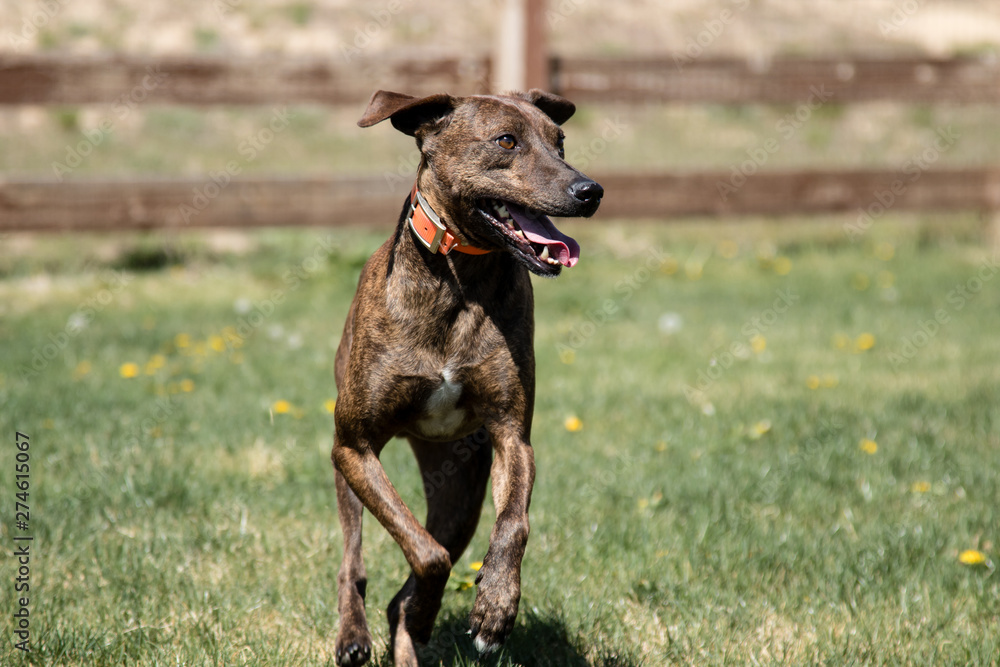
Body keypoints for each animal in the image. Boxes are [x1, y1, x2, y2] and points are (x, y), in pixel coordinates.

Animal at [334, 90, 600, 667]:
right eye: (506, 141)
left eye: (560, 141)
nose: (590, 190)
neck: (459, 278)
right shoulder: (354, 446)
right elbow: (425, 553)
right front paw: (434, 609)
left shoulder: (511, 435)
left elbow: (513, 524)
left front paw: (495, 609)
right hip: (349, 473)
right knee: (354, 559)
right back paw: (353, 633)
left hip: (460, 492)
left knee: (404, 589)